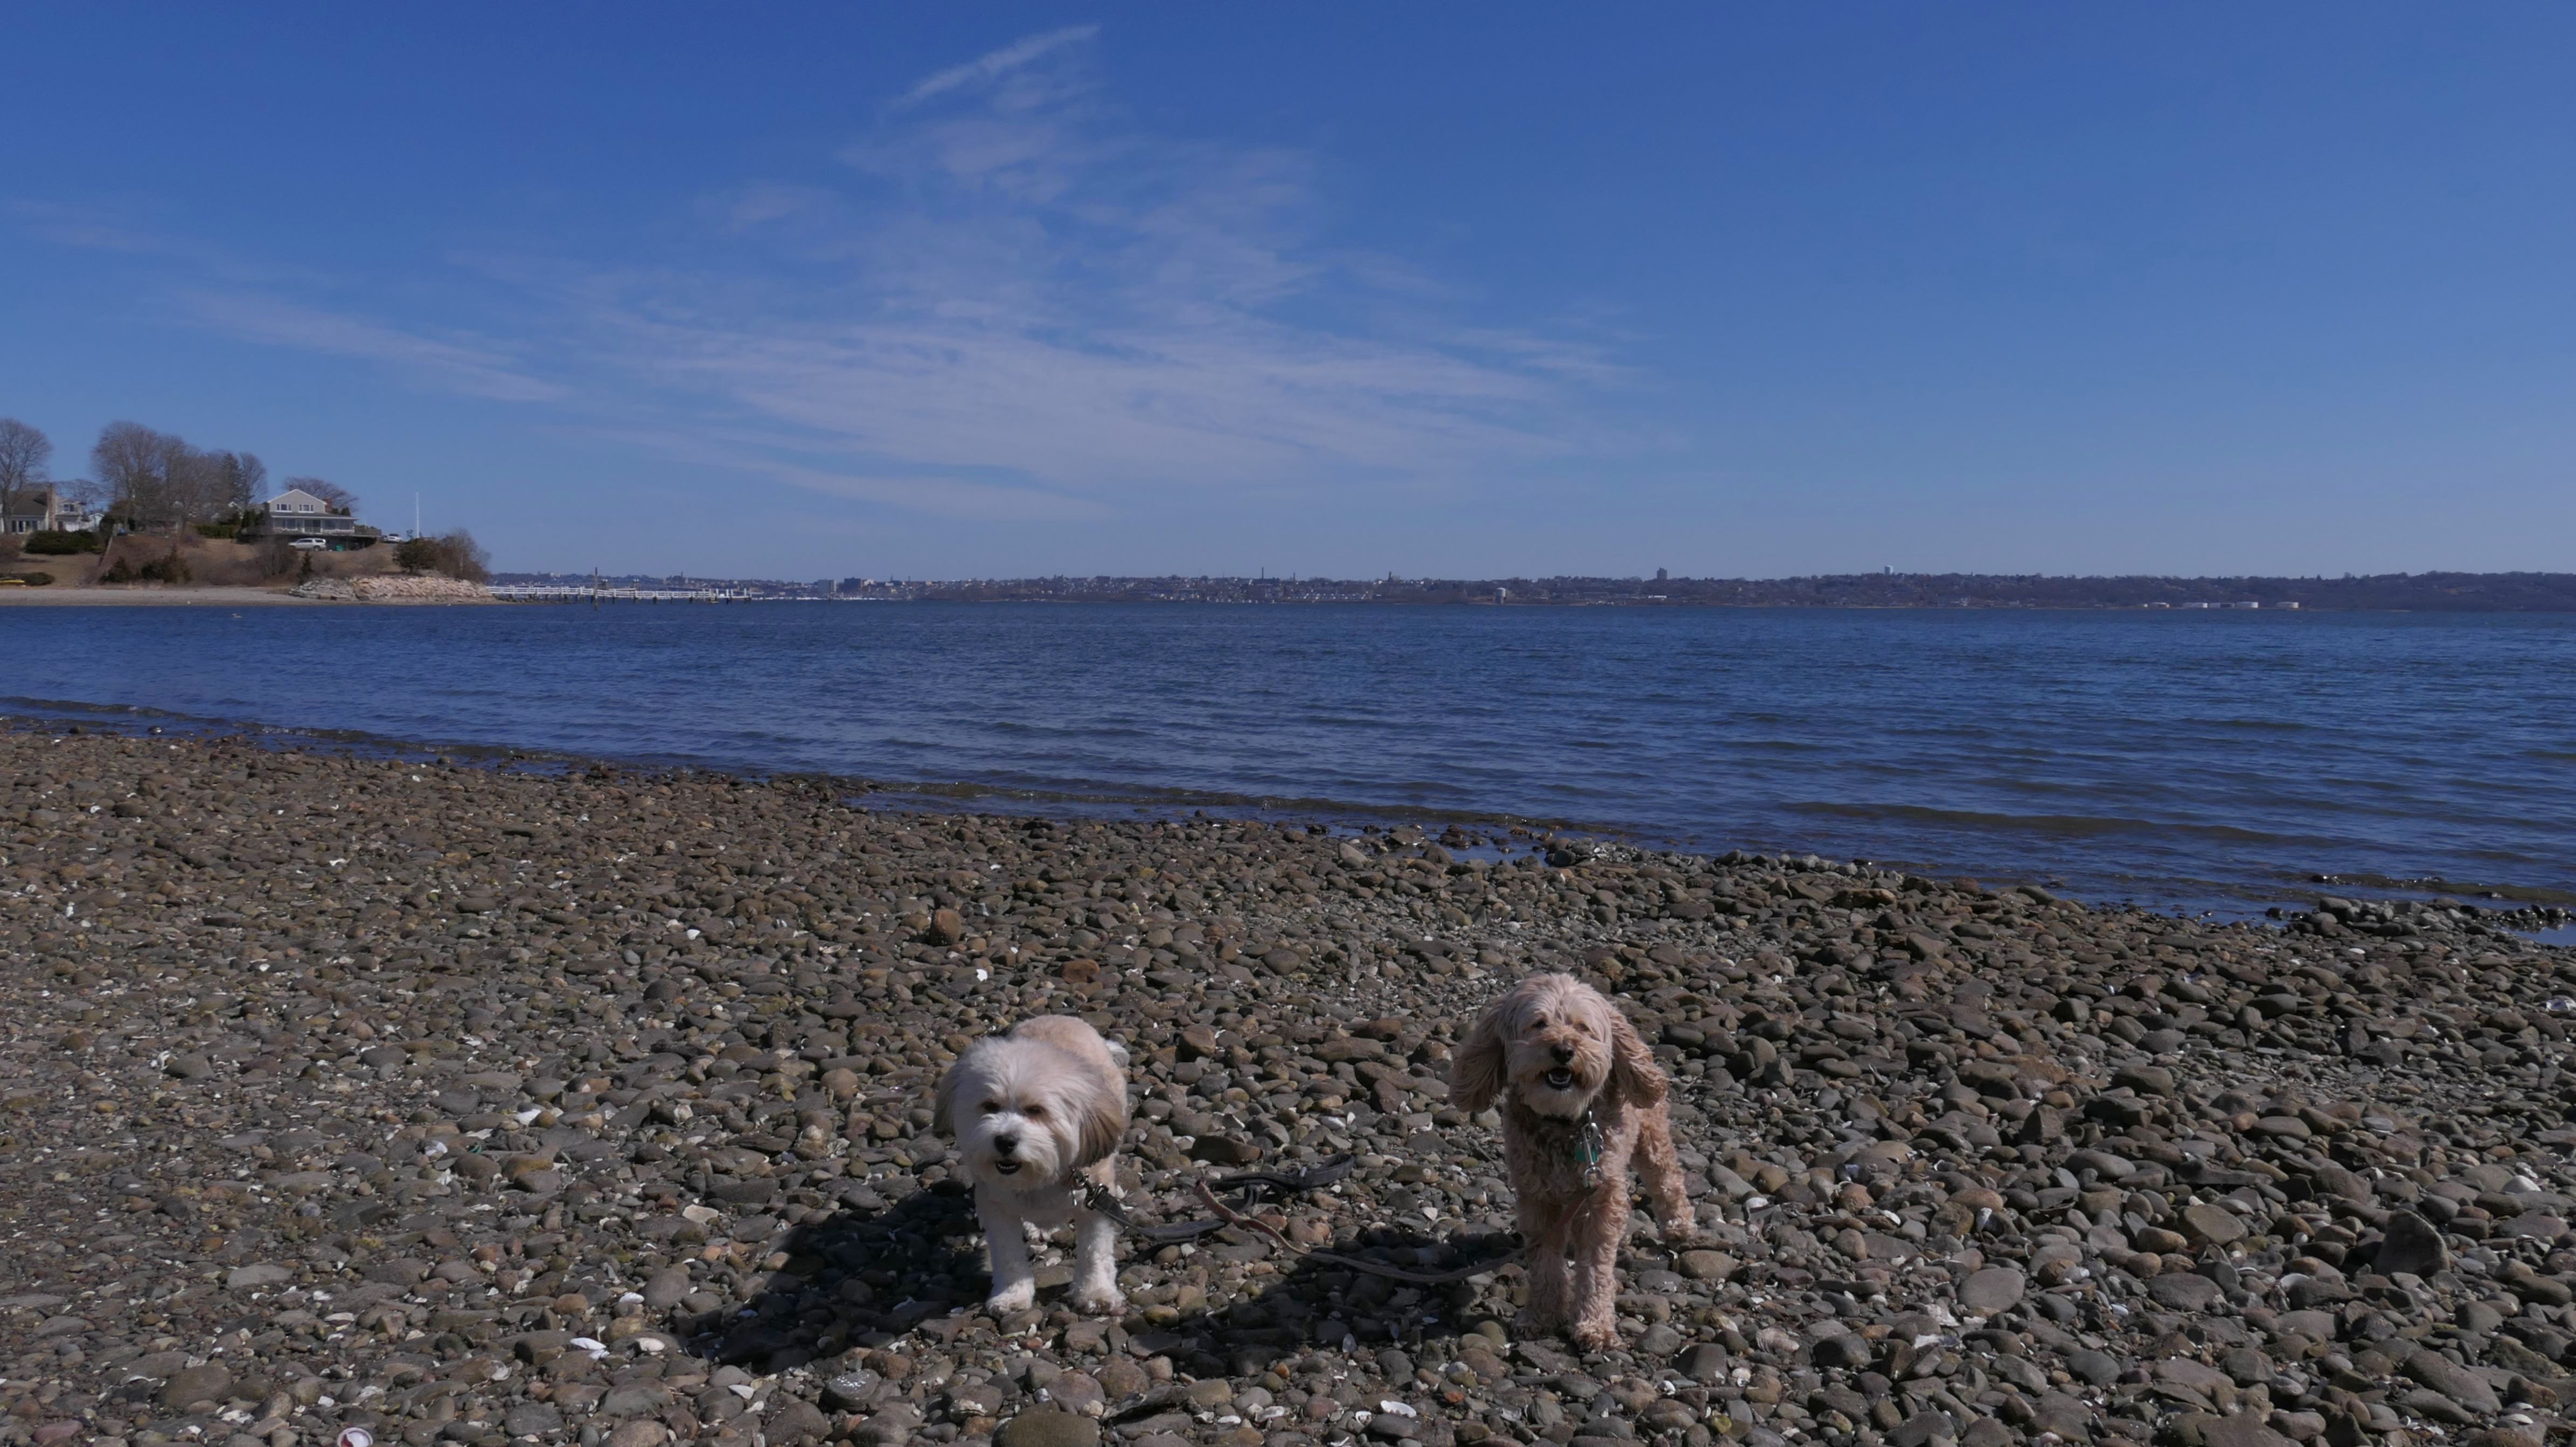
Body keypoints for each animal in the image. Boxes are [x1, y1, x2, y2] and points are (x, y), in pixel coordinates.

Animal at [933, 1015, 1131, 1315]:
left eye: (1036, 1110)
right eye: (990, 1106)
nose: (1005, 1141)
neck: (1041, 1175)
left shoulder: (1093, 1204)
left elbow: (1094, 1252)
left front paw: (1096, 1292)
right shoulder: (997, 1207)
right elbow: (1008, 1255)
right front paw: (1012, 1295)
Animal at [1451, 973, 1694, 1349]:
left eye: (1582, 1027)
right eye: (1539, 1024)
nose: (1564, 1050)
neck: (1567, 1122)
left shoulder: (1601, 1197)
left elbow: (1595, 1266)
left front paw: (1595, 1325)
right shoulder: (1537, 1197)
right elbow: (1544, 1262)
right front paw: (1542, 1316)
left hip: (1650, 1135)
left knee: (1667, 1178)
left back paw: (1679, 1226)